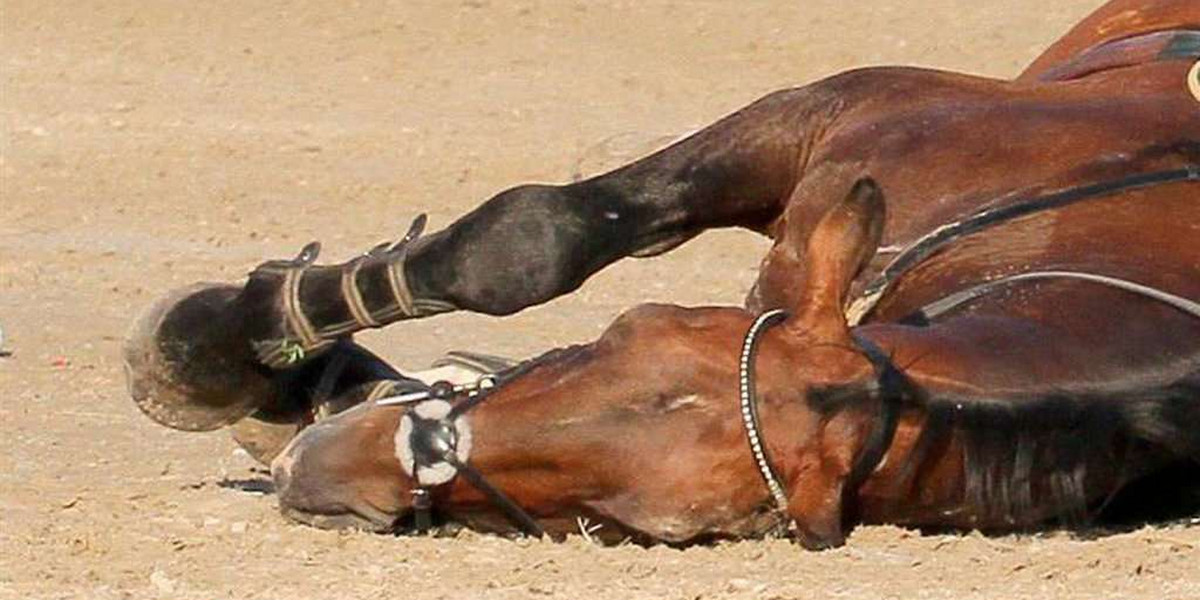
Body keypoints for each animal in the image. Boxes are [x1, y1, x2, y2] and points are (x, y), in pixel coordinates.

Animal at [124, 0, 1200, 549]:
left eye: (627, 523)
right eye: (619, 337)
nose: (336, 469)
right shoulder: (843, 108)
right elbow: (529, 241)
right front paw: (211, 353)